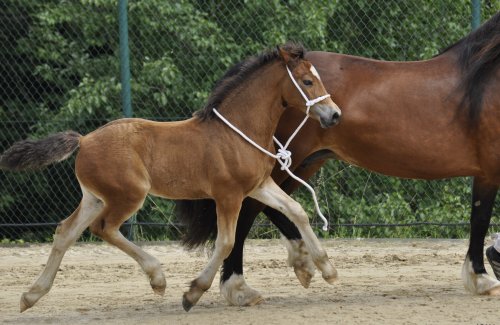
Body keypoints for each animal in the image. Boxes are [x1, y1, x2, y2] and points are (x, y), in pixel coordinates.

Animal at [0, 43, 344, 312]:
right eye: (307, 81)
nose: (334, 115)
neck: (237, 133)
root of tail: (83, 140)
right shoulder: (228, 195)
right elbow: (226, 242)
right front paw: (192, 293)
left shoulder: (259, 185)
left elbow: (297, 211)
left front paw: (327, 269)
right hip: (128, 195)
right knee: (105, 229)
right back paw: (158, 278)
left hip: (94, 197)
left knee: (65, 232)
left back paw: (31, 296)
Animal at [182, 12, 500, 304]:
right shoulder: (490, 169)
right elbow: (481, 218)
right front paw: (482, 278)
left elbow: (480, 218)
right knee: (250, 210)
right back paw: (241, 286)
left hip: (305, 162)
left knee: (273, 207)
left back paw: (302, 262)